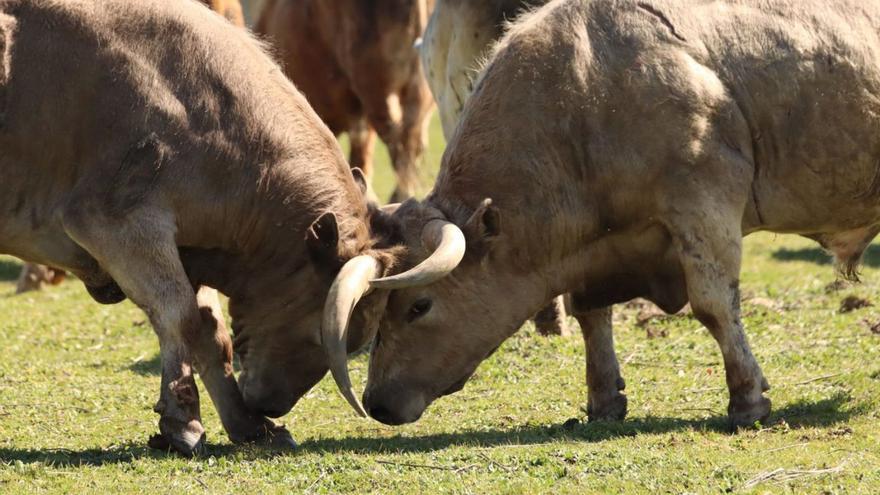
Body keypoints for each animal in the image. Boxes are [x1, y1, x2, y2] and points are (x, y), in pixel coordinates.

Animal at [0, 0, 398, 458]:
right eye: (321, 333)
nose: (272, 404)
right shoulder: (118, 225)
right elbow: (180, 316)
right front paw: (182, 421)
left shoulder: (188, 248)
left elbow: (211, 333)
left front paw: (248, 423)